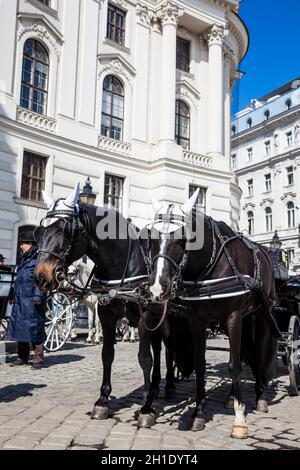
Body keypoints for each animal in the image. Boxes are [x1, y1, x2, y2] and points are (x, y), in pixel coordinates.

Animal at [34, 184, 191, 422]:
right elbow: (107, 354)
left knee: (168, 347)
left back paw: (169, 385)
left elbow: (144, 358)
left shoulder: (144, 317)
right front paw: (103, 400)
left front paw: (146, 407)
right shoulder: (106, 315)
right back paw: (155, 385)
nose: (41, 276)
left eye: (63, 230)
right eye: (40, 231)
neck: (122, 263)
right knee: (158, 347)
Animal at [145, 192, 278, 440]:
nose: (158, 288)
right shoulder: (197, 320)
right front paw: (198, 413)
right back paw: (231, 397)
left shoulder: (233, 316)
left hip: (261, 315)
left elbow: (235, 366)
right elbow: (200, 364)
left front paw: (240, 420)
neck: (212, 265)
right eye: (152, 239)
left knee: (257, 352)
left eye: (182, 239)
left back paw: (260, 396)